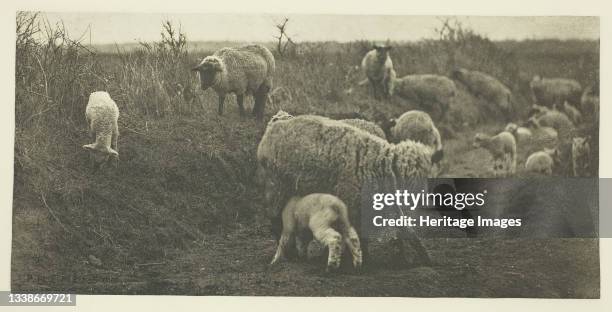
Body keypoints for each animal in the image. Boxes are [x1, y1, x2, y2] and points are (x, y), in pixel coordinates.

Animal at [256, 112, 440, 266]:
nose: (426, 199)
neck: (382, 165)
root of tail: (275, 123)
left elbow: (405, 228)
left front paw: (425, 259)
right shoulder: (353, 203)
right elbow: (357, 234)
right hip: (276, 184)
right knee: (275, 219)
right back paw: (289, 254)